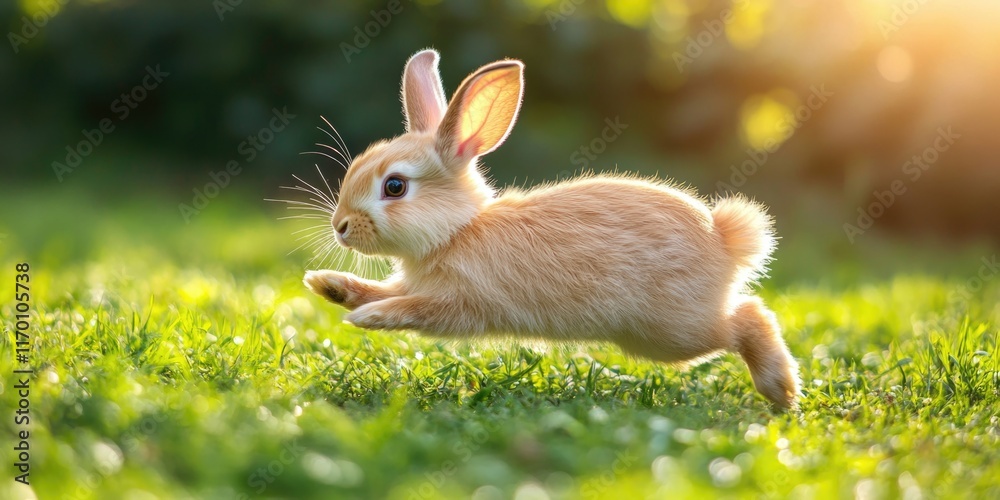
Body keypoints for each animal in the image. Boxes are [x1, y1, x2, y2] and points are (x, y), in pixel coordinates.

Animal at [303, 49, 801, 409]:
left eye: (394, 186)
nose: (340, 226)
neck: (459, 229)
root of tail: (724, 238)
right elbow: (381, 290)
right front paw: (329, 285)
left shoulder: (464, 301)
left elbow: (413, 310)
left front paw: (369, 319)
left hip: (673, 332)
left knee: (749, 317)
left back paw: (780, 390)